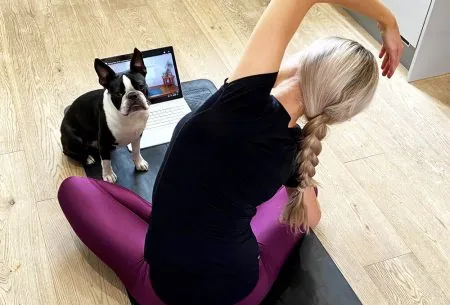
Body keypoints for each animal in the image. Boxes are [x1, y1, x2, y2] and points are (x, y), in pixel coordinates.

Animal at [60, 48, 149, 182]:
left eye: (141, 86)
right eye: (118, 94)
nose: (133, 95)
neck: (128, 117)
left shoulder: (137, 135)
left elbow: (136, 150)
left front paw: (139, 163)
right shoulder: (103, 141)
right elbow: (106, 161)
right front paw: (108, 175)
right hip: (75, 139)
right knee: (70, 151)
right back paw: (87, 158)